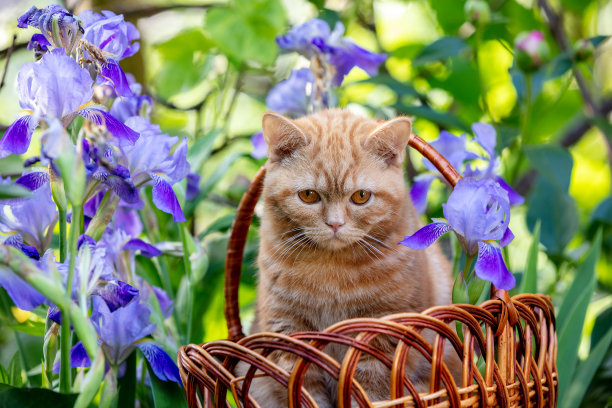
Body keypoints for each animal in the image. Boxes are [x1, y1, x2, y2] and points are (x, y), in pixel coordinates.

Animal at [246, 109, 456, 408]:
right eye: (308, 195)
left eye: (361, 196)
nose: (335, 224)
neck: (332, 270)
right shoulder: (289, 333)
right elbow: (303, 391)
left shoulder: (383, 334)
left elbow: (368, 392)